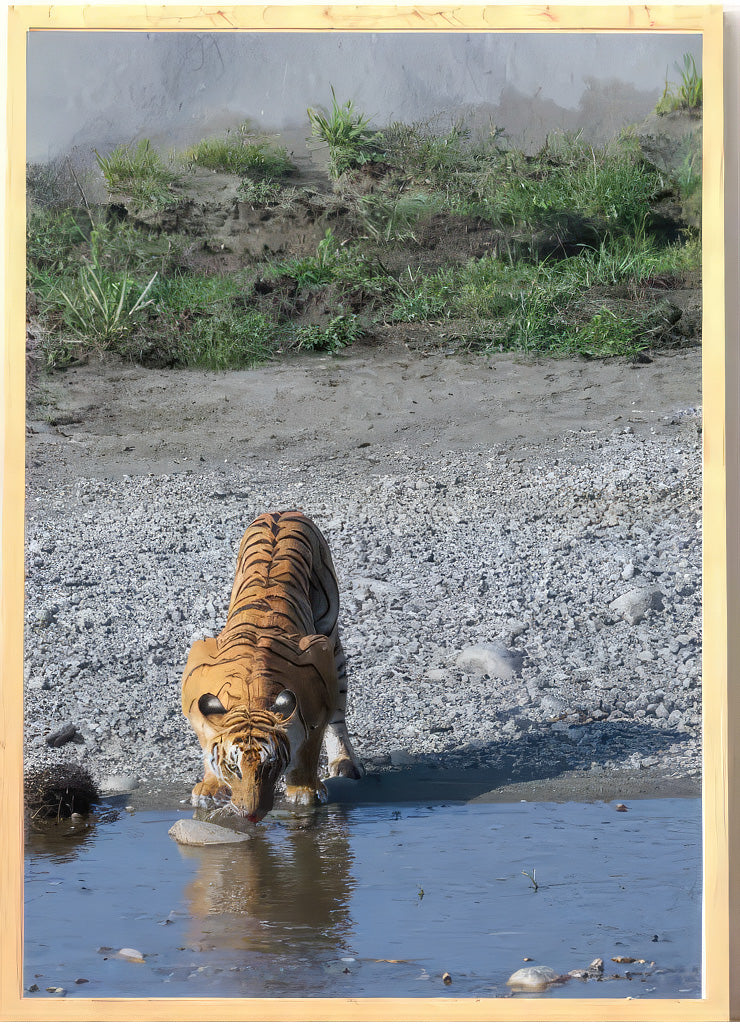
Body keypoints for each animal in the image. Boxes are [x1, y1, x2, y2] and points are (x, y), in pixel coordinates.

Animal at [181, 510, 363, 823]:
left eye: (270, 766)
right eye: (233, 767)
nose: (252, 816)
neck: (249, 696)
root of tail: (284, 511)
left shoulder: (319, 676)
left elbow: (311, 746)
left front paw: (304, 791)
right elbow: (207, 736)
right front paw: (209, 788)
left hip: (331, 641)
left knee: (339, 718)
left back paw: (344, 763)